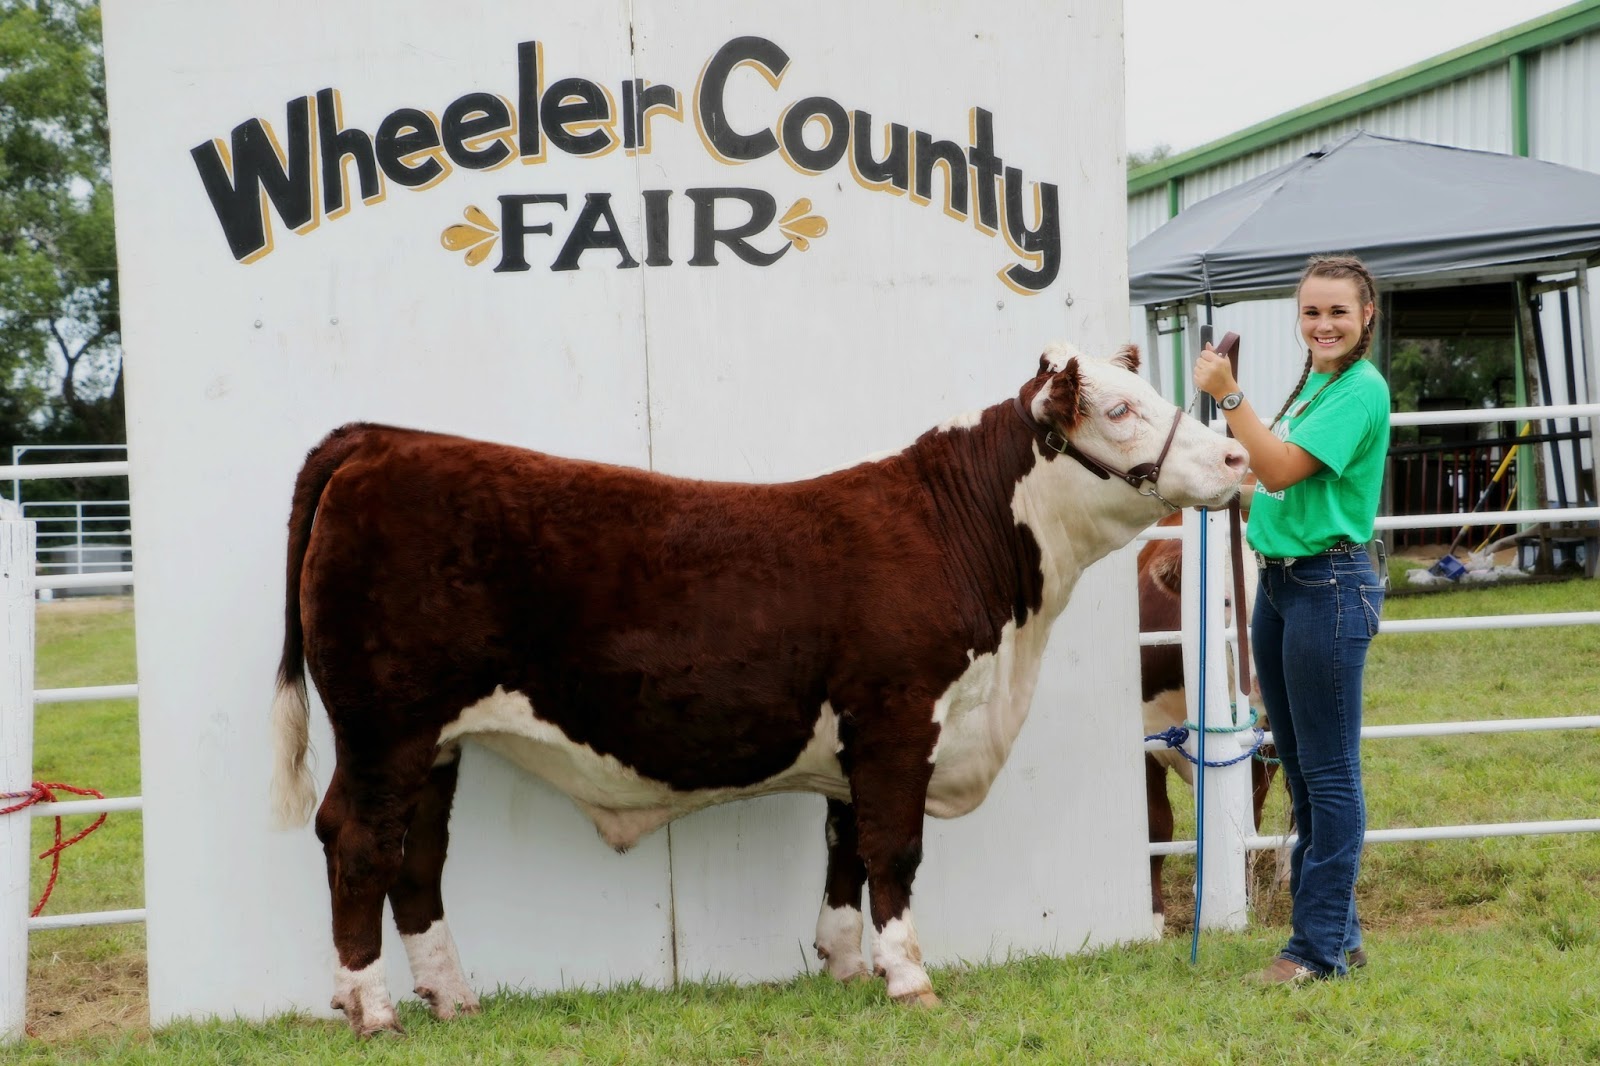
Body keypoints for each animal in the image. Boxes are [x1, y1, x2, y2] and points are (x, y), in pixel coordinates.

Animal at [269, 342, 1247, 1034]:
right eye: (1120, 409)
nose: (1239, 459)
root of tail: (381, 439)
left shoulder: (862, 738)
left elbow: (846, 853)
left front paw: (848, 968)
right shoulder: (899, 716)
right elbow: (893, 851)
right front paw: (911, 978)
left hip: (435, 741)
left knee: (418, 859)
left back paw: (451, 997)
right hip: (386, 727)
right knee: (358, 843)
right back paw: (372, 1009)